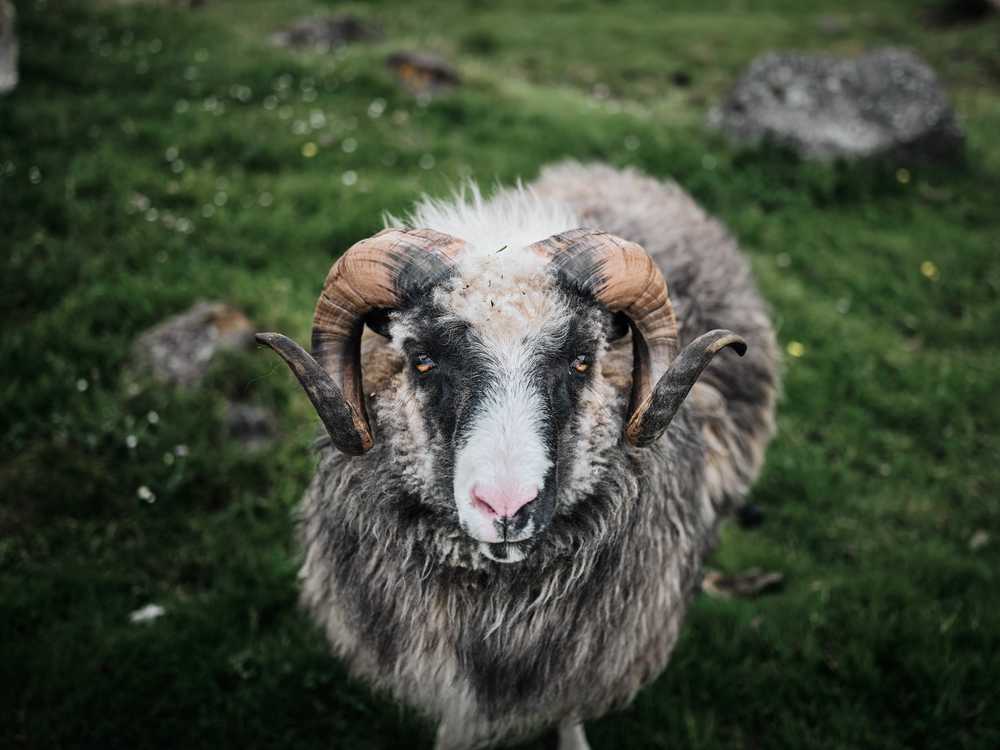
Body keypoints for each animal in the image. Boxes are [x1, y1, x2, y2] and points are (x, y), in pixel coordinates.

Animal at [257, 161, 779, 750]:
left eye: (582, 360)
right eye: (421, 360)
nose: (506, 508)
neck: (497, 605)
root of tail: (616, 170)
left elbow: (568, 703)